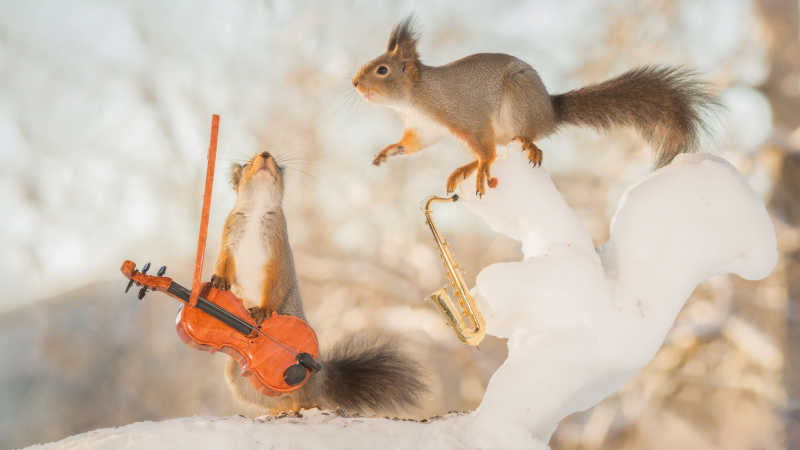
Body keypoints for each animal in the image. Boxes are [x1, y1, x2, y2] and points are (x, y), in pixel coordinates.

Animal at [211, 151, 424, 414]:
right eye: (244, 164)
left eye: (279, 166)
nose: (265, 154)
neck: (258, 210)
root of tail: (320, 380)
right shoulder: (229, 238)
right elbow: (223, 263)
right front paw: (219, 279)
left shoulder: (279, 253)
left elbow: (275, 284)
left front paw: (262, 311)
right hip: (238, 376)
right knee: (278, 397)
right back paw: (279, 409)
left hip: (300, 376)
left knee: (303, 397)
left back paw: (301, 405)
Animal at [354, 16, 716, 196]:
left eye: (382, 70)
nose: (355, 83)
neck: (415, 99)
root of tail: (550, 112)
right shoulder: (424, 127)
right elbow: (415, 143)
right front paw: (389, 151)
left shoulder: (465, 116)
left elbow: (484, 148)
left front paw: (483, 169)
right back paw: (465, 167)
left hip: (517, 104)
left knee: (516, 140)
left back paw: (520, 148)